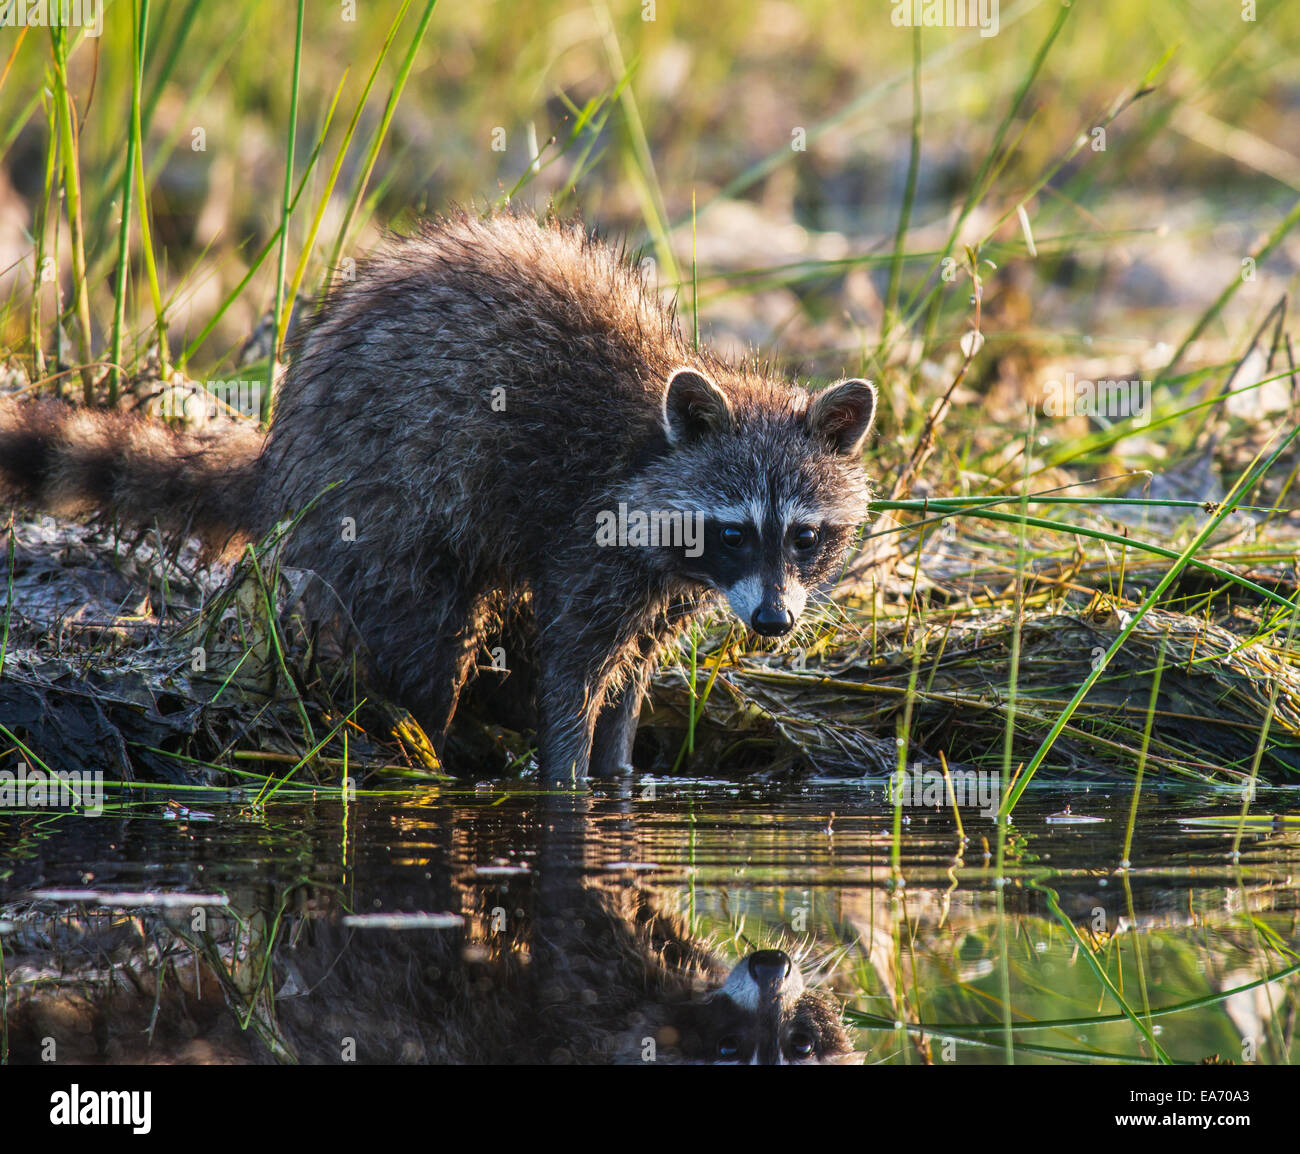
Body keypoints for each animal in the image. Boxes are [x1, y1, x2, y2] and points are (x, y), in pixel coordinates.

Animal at [0, 213, 878, 779]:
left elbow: (630, 676)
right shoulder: (592, 536)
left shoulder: (673, 582)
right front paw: (569, 781)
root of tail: (284, 447)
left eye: (804, 537)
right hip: (376, 505)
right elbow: (573, 667)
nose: (774, 623)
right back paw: (428, 742)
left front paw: (622, 774)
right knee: (427, 638)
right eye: (734, 531)